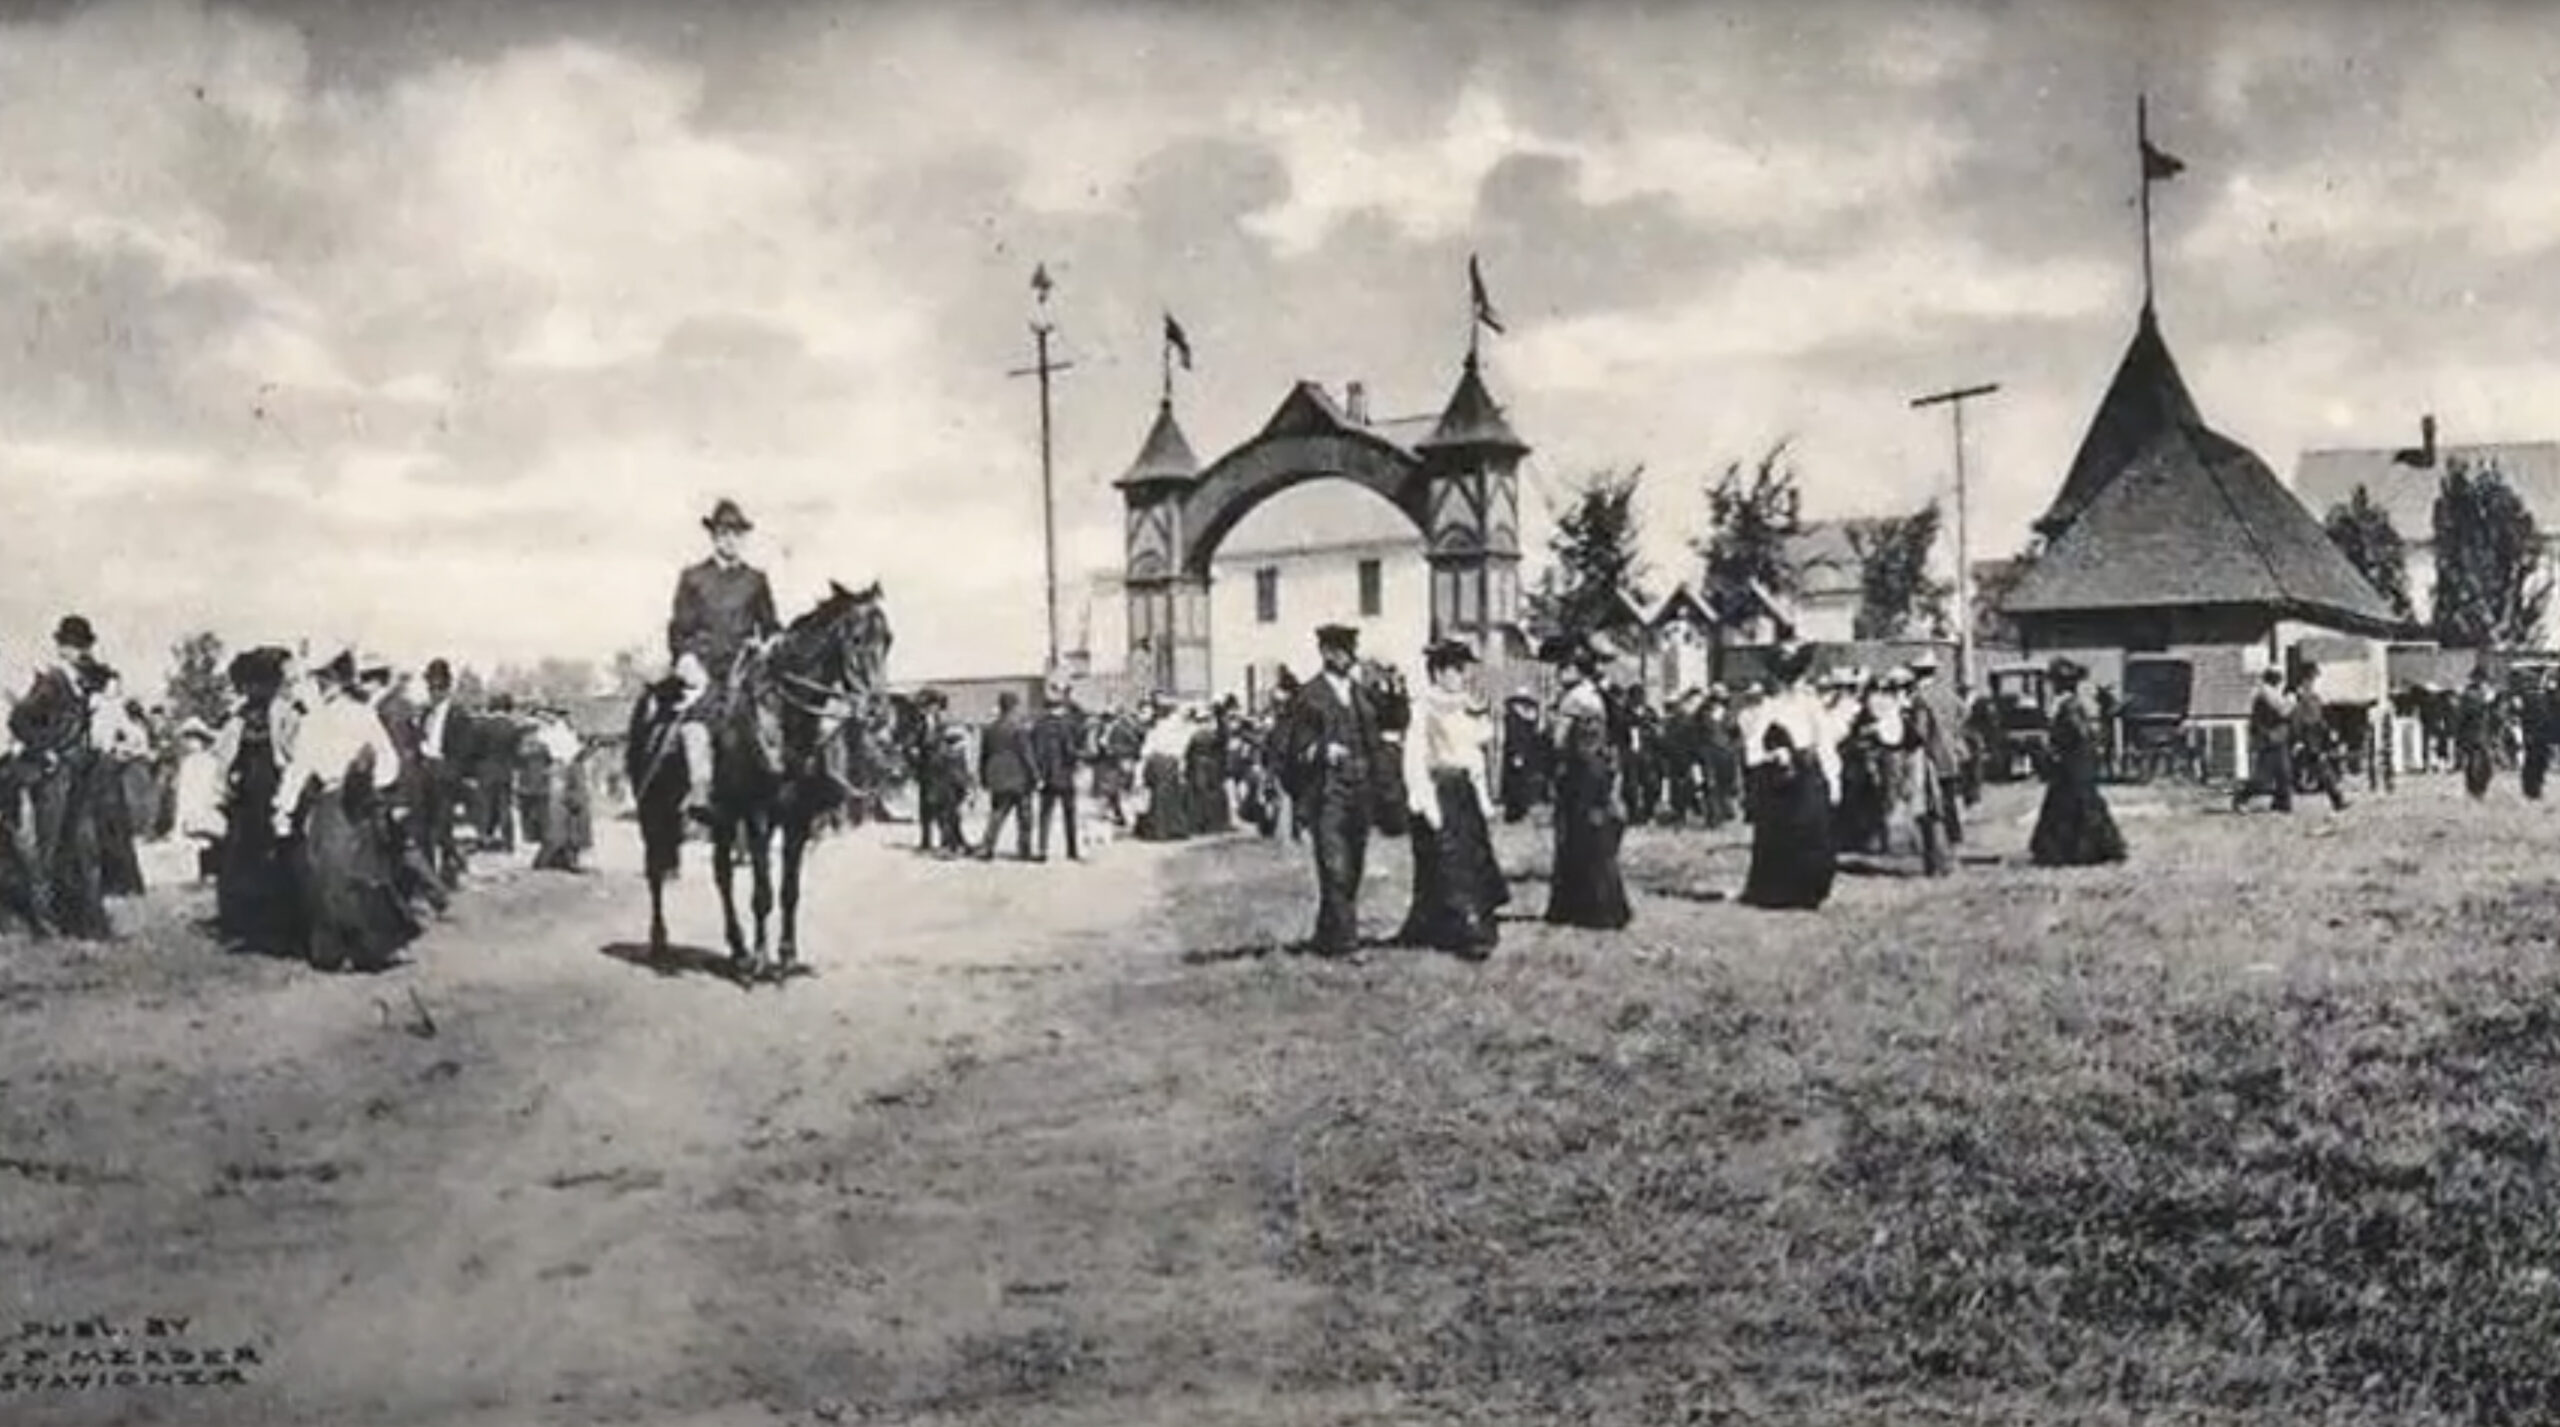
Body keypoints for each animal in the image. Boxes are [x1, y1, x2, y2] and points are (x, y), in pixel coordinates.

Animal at [624, 578, 896, 978]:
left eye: (888, 639)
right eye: (857, 638)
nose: (878, 711)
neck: (783, 722)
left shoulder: (797, 820)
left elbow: (789, 892)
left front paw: (786, 956)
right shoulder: (757, 818)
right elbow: (763, 893)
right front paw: (763, 960)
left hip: (720, 820)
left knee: (721, 875)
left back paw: (737, 950)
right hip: (652, 812)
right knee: (655, 872)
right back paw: (660, 944)